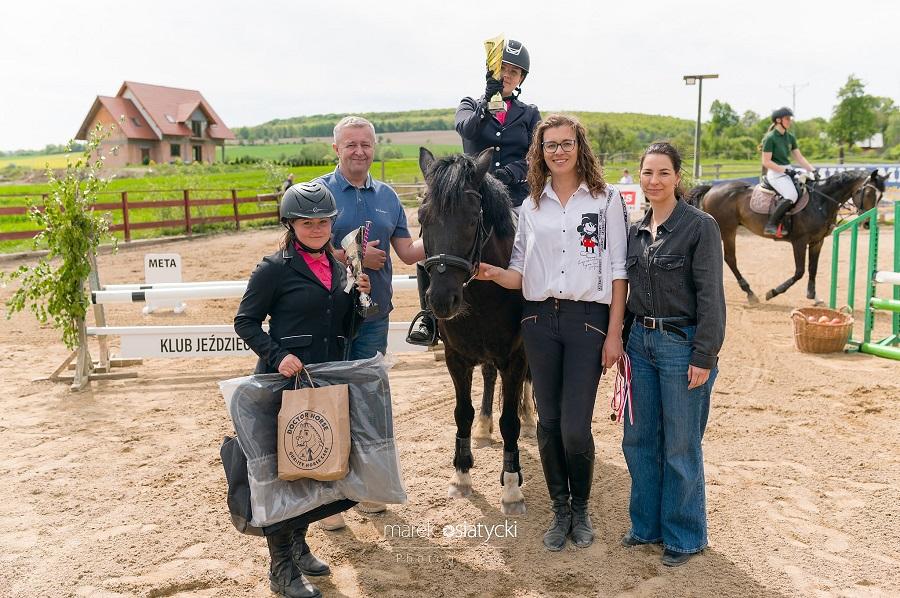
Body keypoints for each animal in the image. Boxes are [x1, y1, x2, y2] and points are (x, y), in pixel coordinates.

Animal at [418, 146, 532, 516]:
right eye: (422, 219)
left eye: (471, 219)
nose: (442, 301)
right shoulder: (457, 357)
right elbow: (462, 413)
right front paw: (461, 475)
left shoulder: (515, 358)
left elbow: (509, 420)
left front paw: (511, 488)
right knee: (488, 376)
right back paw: (483, 428)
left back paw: (529, 420)